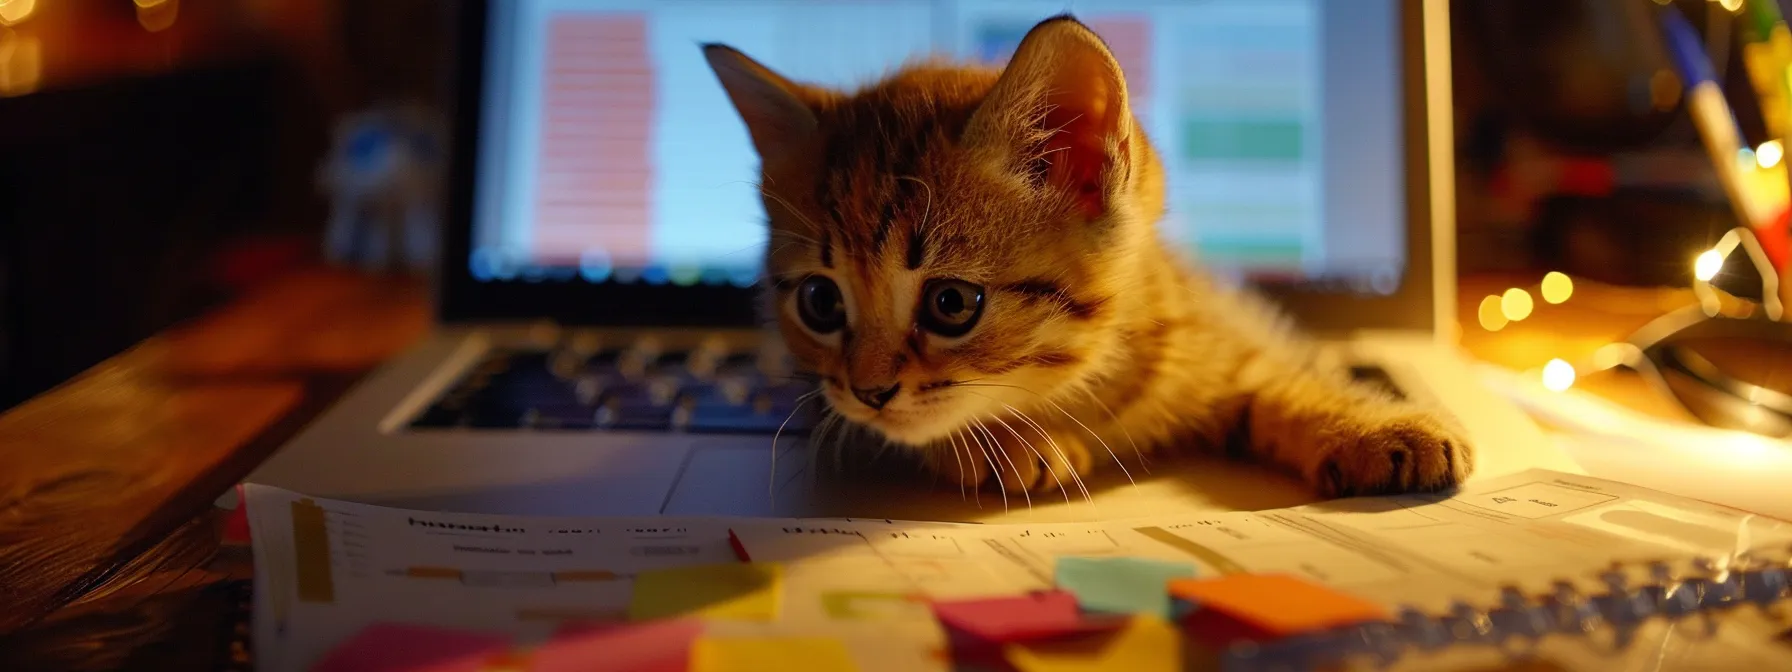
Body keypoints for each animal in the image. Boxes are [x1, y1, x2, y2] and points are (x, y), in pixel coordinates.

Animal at [698, 15, 1469, 501]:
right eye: (820, 302)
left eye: (952, 304)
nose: (869, 393)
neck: (1082, 381)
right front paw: (1005, 445)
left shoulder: (1215, 333)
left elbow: (1276, 377)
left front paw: (1372, 425)